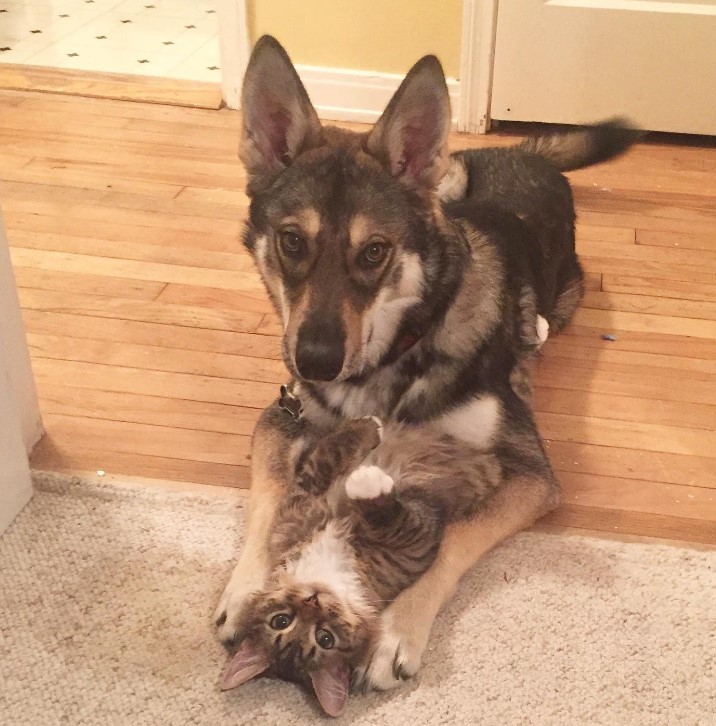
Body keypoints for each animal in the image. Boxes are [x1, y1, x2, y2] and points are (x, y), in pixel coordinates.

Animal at [221, 418, 500, 720]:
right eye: (324, 638)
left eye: (281, 621)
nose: (312, 601)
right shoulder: (414, 543)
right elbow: (385, 511)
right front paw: (368, 476)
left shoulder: (300, 510)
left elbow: (323, 461)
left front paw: (367, 427)